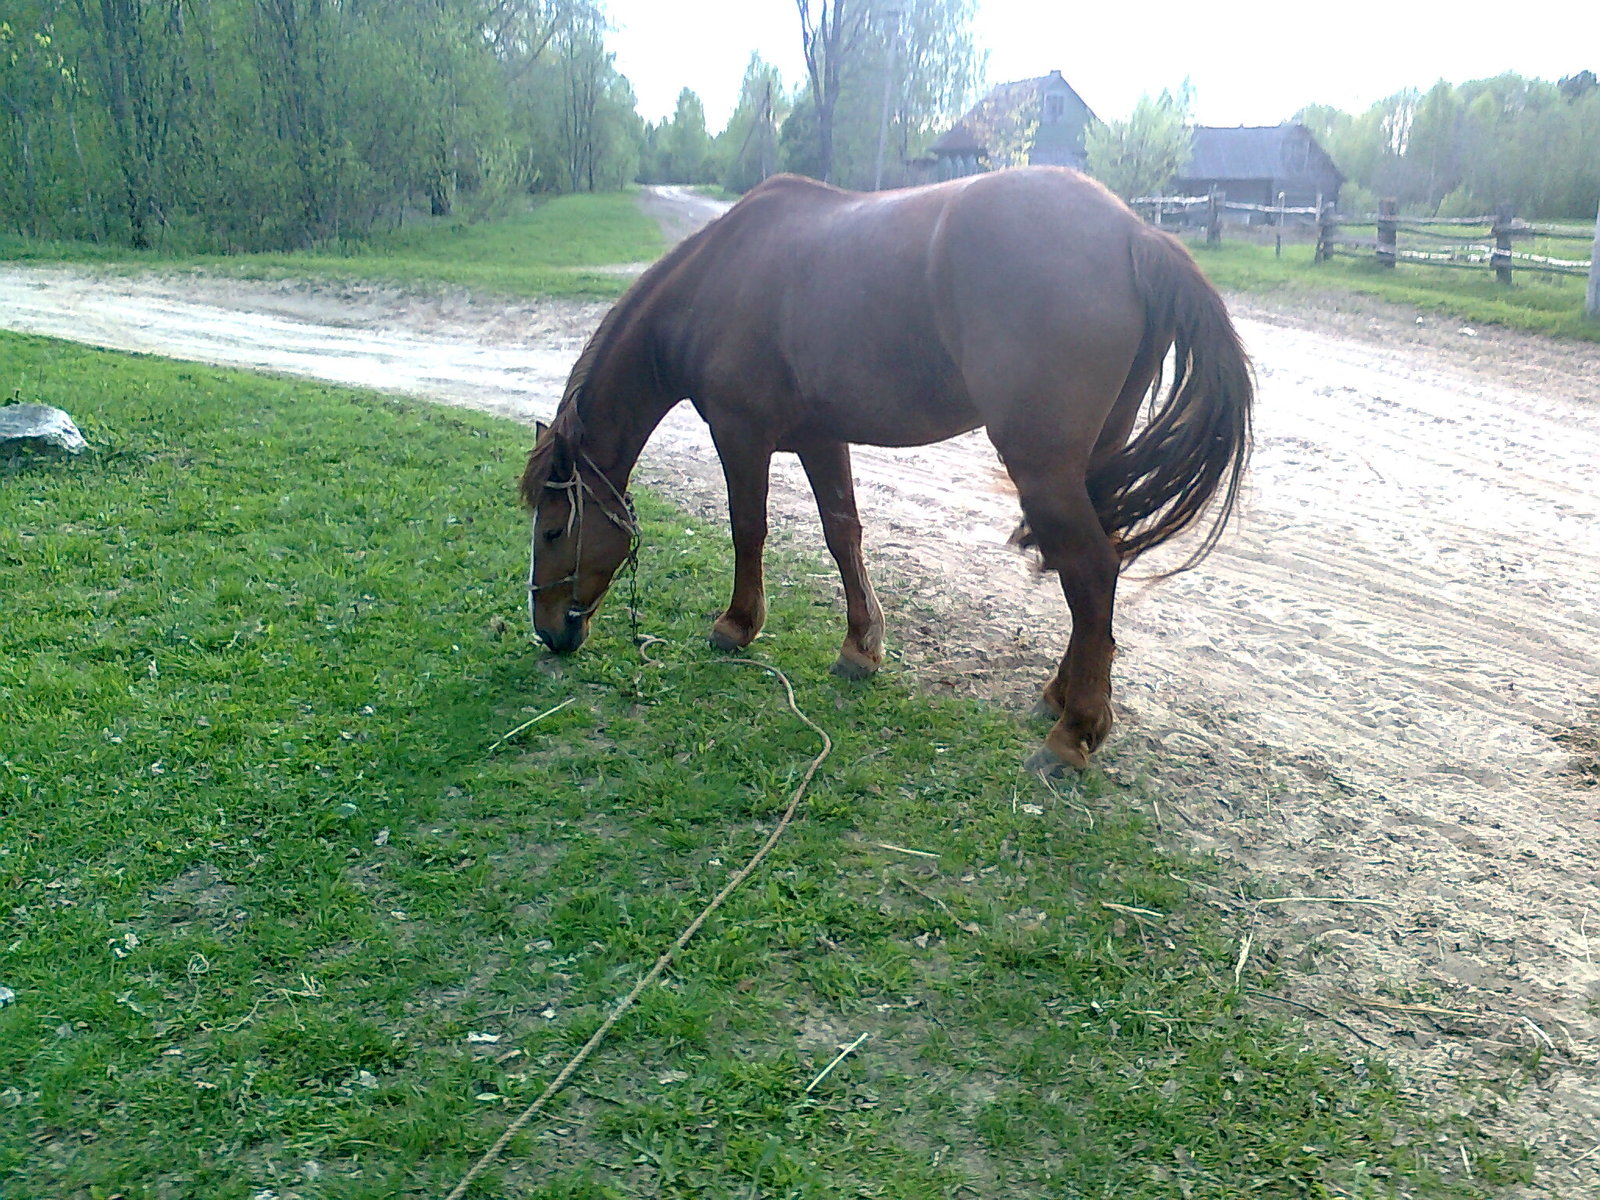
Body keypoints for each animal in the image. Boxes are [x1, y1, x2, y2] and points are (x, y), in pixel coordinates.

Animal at [521, 167, 1248, 771]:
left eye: (554, 529)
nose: (549, 631)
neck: (716, 280)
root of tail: (1134, 232)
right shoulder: (821, 437)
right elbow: (842, 533)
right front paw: (860, 648)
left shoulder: (740, 434)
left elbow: (748, 529)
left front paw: (737, 626)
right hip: (1092, 461)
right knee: (1100, 567)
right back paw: (1061, 696)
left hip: (1043, 467)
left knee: (1091, 570)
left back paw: (1072, 736)